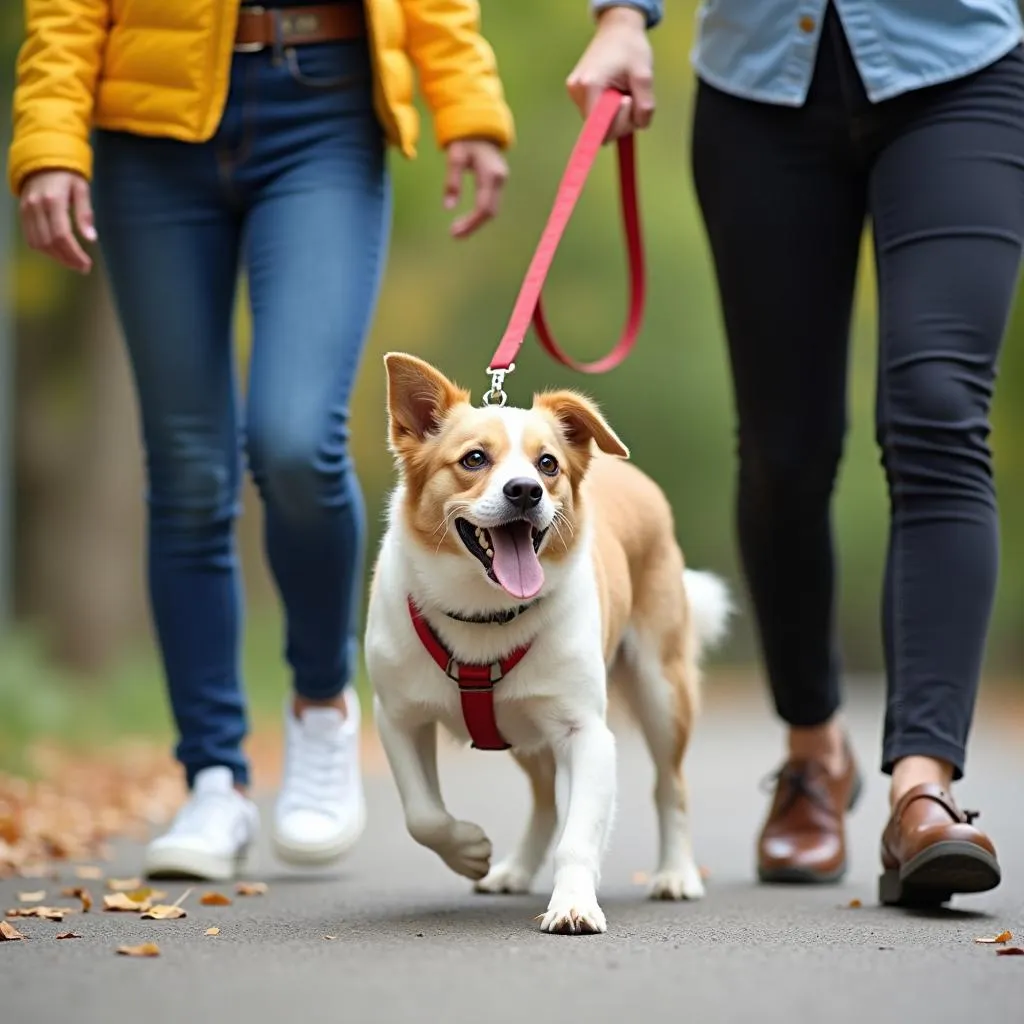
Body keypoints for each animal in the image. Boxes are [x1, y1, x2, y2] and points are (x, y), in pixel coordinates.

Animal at [364, 354, 733, 937]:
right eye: (474, 459)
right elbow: (422, 815)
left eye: (547, 464)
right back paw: (515, 869)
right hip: (522, 732)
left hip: (662, 689)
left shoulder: (587, 734)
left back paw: (676, 874)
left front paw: (575, 903)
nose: (525, 491)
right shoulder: (397, 716)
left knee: (669, 787)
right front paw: (468, 849)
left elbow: (578, 837)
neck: (484, 614)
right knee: (544, 800)